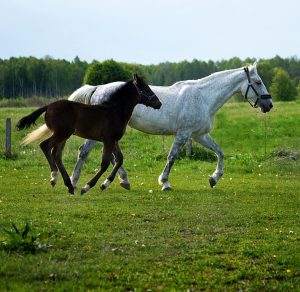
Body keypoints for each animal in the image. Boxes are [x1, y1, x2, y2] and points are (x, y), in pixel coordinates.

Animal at [68, 62, 274, 190]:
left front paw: (214, 178)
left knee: (107, 155)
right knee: (84, 152)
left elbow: (220, 152)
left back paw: (123, 180)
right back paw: (75, 182)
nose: (269, 104)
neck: (204, 97)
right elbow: (172, 157)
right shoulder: (183, 134)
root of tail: (97, 88)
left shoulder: (199, 135)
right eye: (258, 82)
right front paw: (165, 183)